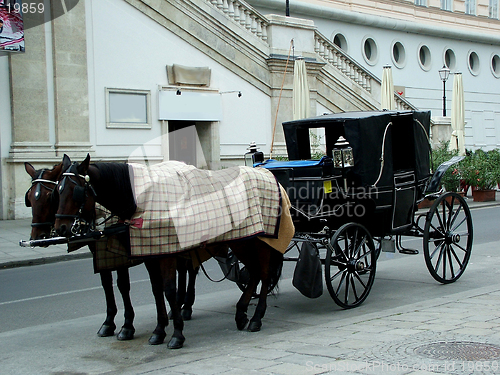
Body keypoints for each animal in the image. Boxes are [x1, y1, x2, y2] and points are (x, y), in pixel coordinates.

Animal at [52, 154, 288, 352]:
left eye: (76, 192)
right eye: (57, 191)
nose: (60, 228)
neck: (142, 201)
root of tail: (267, 175)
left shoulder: (166, 254)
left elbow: (169, 290)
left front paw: (176, 334)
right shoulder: (151, 253)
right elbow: (157, 290)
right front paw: (159, 330)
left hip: (260, 241)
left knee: (264, 274)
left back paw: (256, 317)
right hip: (242, 241)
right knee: (254, 272)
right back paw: (241, 313)